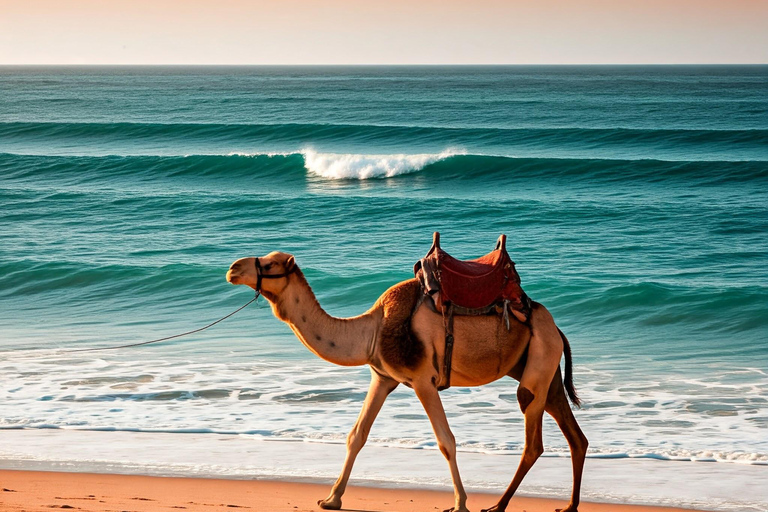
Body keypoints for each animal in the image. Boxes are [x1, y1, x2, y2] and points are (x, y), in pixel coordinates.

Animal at [226, 250, 588, 510]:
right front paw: (331, 499)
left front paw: (460, 504)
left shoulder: (423, 380)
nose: (232, 268)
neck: (371, 330)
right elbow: (356, 435)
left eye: (269, 263)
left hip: (539, 359)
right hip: (545, 369)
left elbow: (446, 441)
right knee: (574, 435)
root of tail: (556, 327)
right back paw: (568, 506)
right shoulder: (383, 377)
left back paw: (497, 506)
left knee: (532, 434)